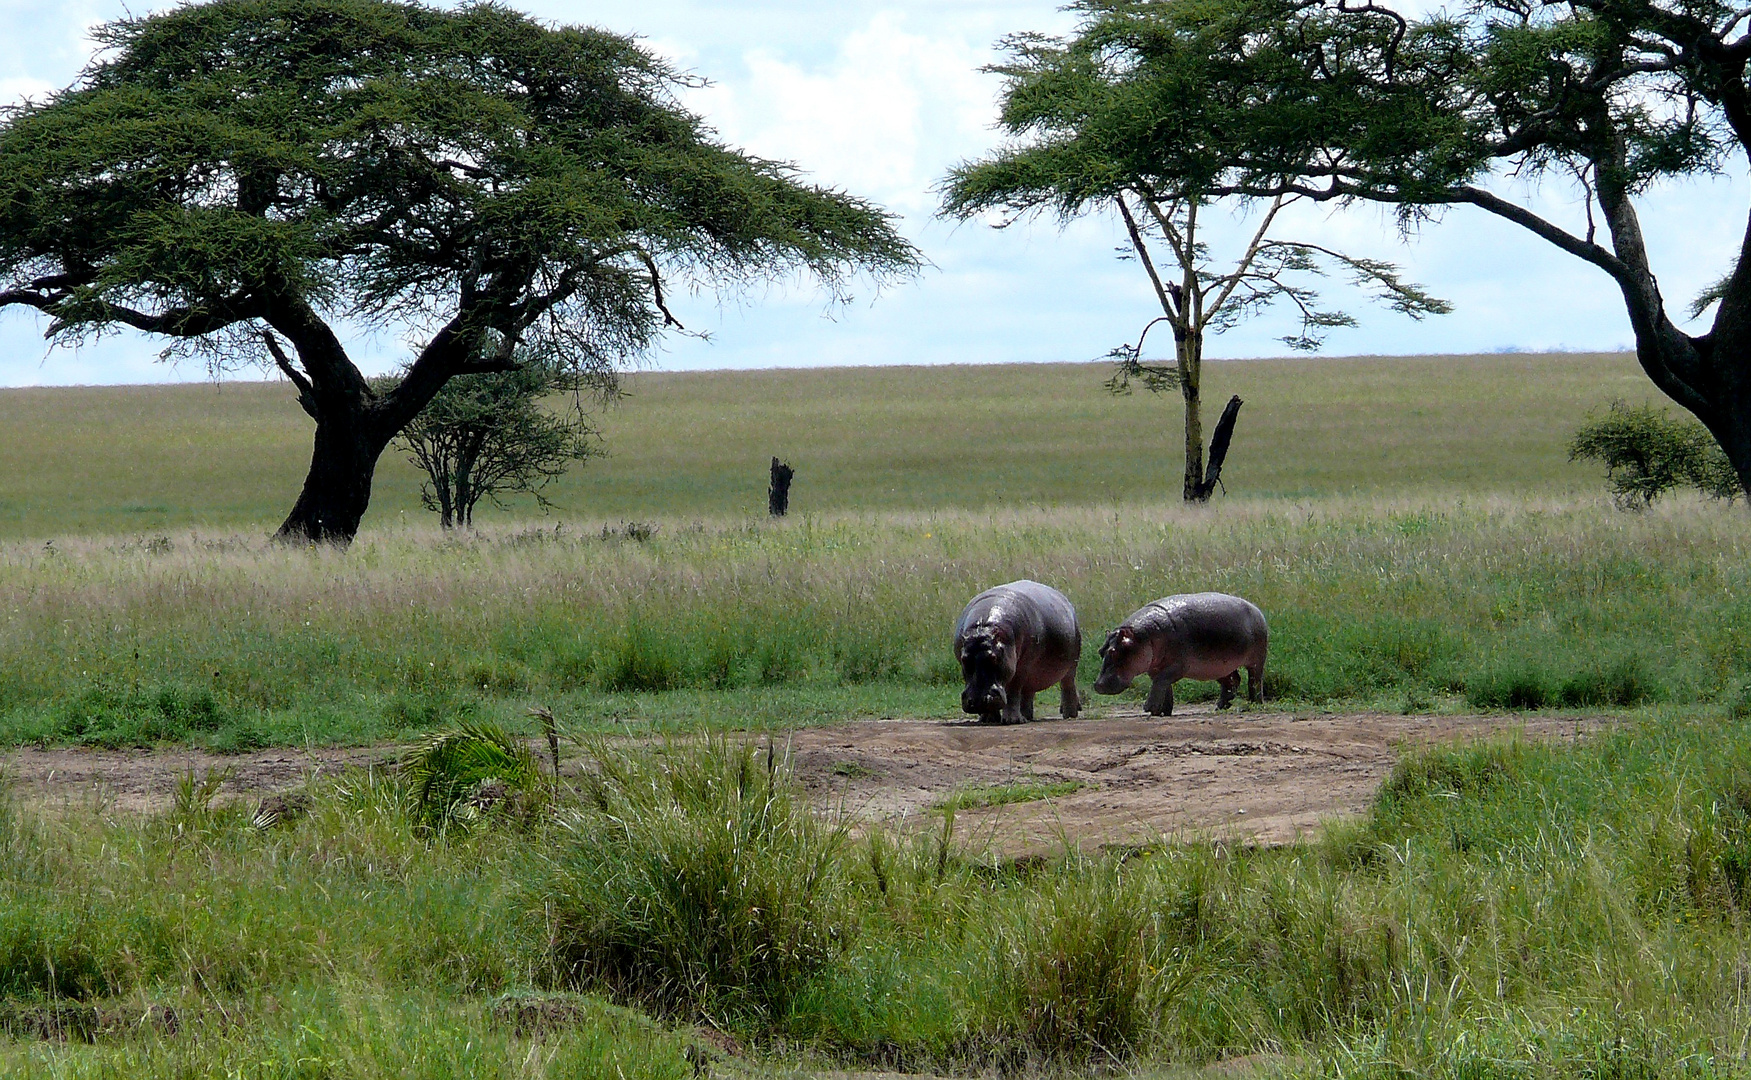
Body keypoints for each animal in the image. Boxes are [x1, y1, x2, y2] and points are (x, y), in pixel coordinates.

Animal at [959, 577, 1078, 721]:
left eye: (994, 658)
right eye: (964, 659)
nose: (979, 701)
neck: (983, 626)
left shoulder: (1021, 667)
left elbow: (1013, 690)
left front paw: (1012, 720)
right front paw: (988, 719)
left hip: (1070, 665)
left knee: (1068, 685)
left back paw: (1069, 715)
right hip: (1033, 672)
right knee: (1028, 691)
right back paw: (1027, 716)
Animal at [1085, 588, 1267, 717]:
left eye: (1115, 651)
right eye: (1101, 651)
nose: (1098, 685)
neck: (1144, 636)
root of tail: (1256, 608)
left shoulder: (1178, 666)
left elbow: (1160, 681)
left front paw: (1148, 708)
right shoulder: (1156, 667)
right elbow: (1162, 686)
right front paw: (1161, 712)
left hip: (1256, 659)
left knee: (1254, 680)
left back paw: (1254, 704)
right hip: (1219, 667)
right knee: (1233, 681)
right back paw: (1219, 707)